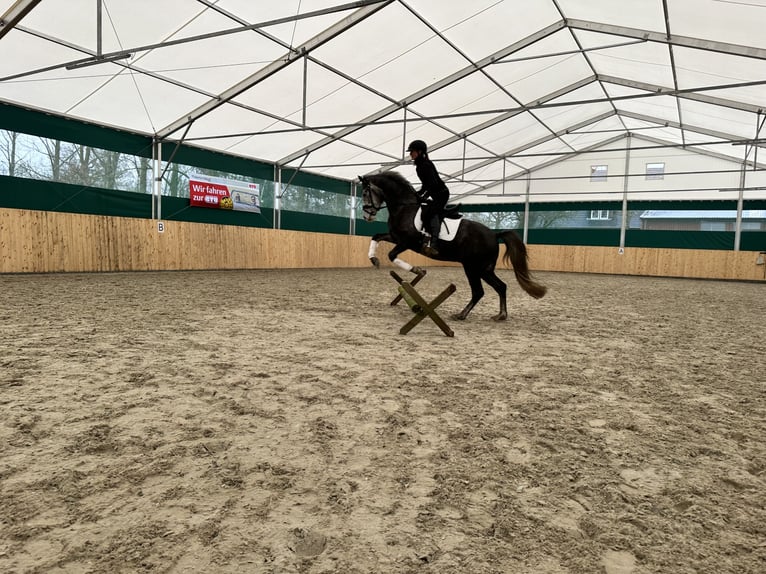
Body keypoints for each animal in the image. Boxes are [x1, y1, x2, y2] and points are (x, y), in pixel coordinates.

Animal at [360, 171, 544, 324]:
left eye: (365, 193)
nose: (367, 216)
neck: (404, 207)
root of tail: (494, 234)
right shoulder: (395, 237)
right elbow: (375, 236)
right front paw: (374, 259)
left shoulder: (407, 242)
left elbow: (391, 255)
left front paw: (417, 270)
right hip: (484, 269)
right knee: (500, 286)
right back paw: (501, 315)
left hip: (474, 268)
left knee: (479, 291)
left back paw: (462, 315)